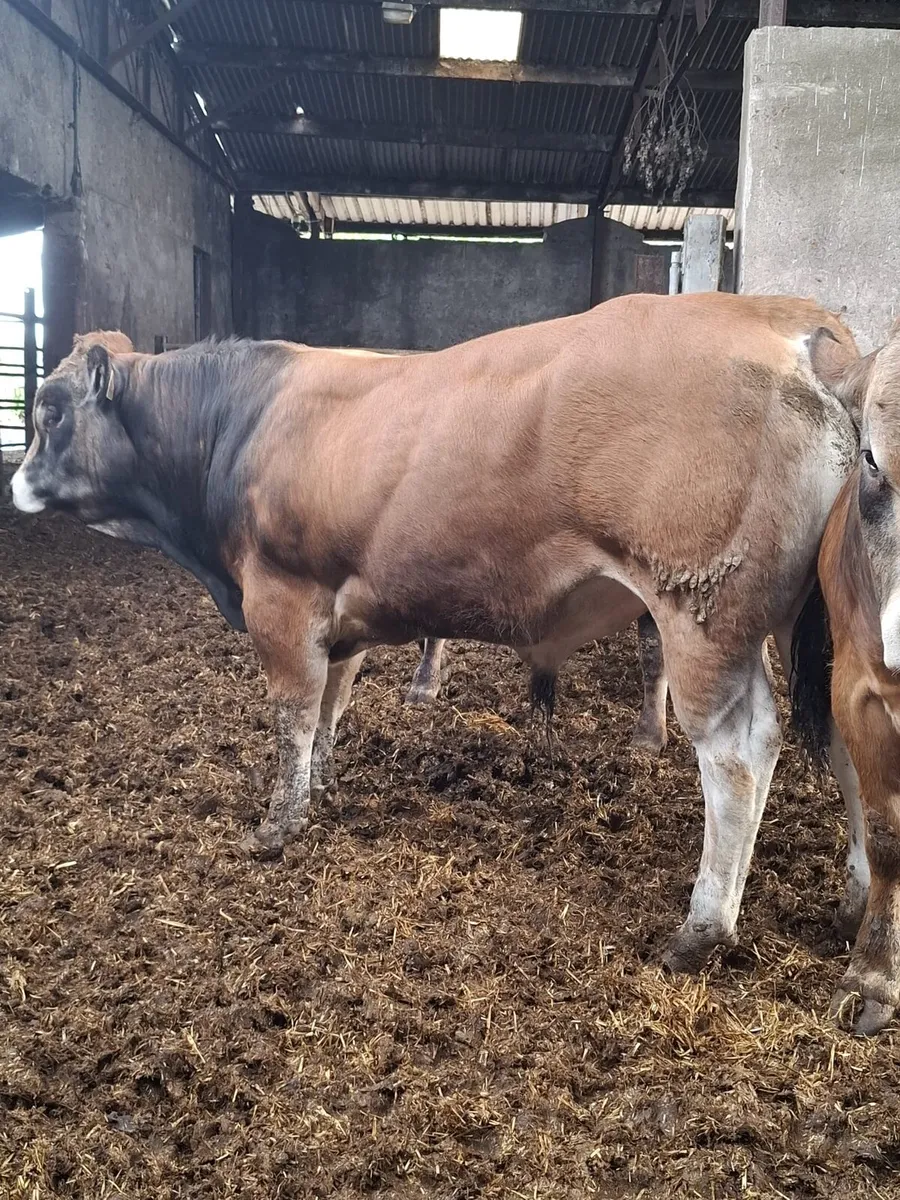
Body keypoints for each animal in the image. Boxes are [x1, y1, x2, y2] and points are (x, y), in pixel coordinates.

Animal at [10, 292, 862, 976]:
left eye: (50, 410)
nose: (14, 483)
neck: (241, 423)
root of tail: (784, 320)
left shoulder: (280, 599)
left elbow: (293, 715)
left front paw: (277, 825)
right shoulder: (339, 617)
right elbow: (330, 710)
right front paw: (322, 789)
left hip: (702, 616)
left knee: (740, 757)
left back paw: (702, 929)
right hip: (817, 629)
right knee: (845, 742)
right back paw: (855, 903)